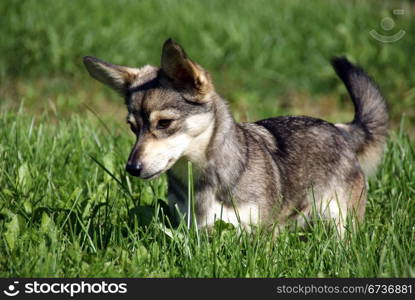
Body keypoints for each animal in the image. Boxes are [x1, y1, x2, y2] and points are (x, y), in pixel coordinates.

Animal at [83, 38, 388, 236]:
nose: (132, 168)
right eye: (133, 127)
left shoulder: (260, 234)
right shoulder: (196, 233)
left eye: (164, 123)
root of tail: (340, 129)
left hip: (340, 221)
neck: (202, 180)